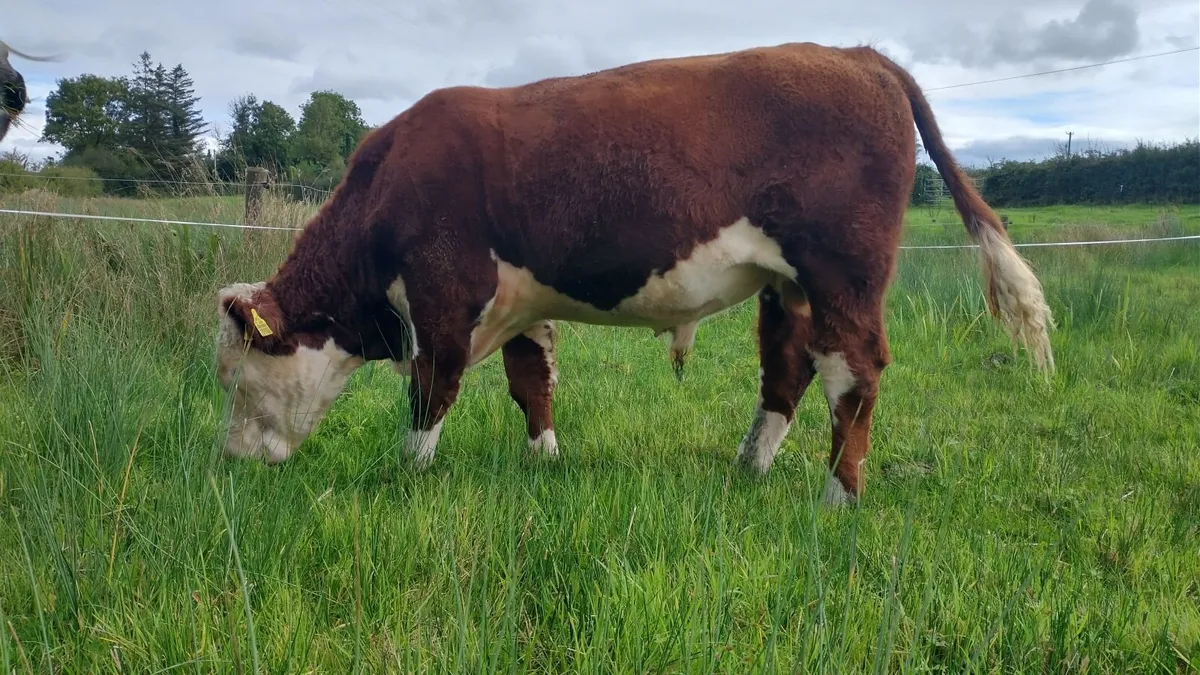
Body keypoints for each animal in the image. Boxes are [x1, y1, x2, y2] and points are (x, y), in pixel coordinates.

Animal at [213, 42, 1054, 506]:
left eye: (233, 376)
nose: (231, 460)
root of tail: (856, 55)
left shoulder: (445, 294)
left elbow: (431, 391)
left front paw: (407, 476)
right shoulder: (521, 304)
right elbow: (531, 381)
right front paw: (544, 462)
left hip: (843, 271)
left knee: (855, 373)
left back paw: (837, 498)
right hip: (789, 285)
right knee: (786, 369)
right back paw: (748, 467)